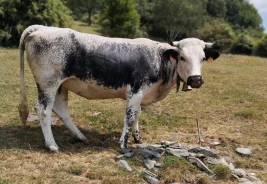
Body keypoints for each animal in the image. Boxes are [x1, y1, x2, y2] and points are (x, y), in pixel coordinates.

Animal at [17, 25, 221, 153]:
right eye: (182, 57)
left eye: (203, 58)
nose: (196, 79)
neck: (159, 58)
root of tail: (41, 28)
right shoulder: (136, 91)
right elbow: (129, 116)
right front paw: (123, 144)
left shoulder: (141, 95)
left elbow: (138, 114)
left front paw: (138, 138)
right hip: (48, 84)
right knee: (43, 110)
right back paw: (52, 145)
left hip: (61, 85)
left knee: (60, 110)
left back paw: (81, 136)